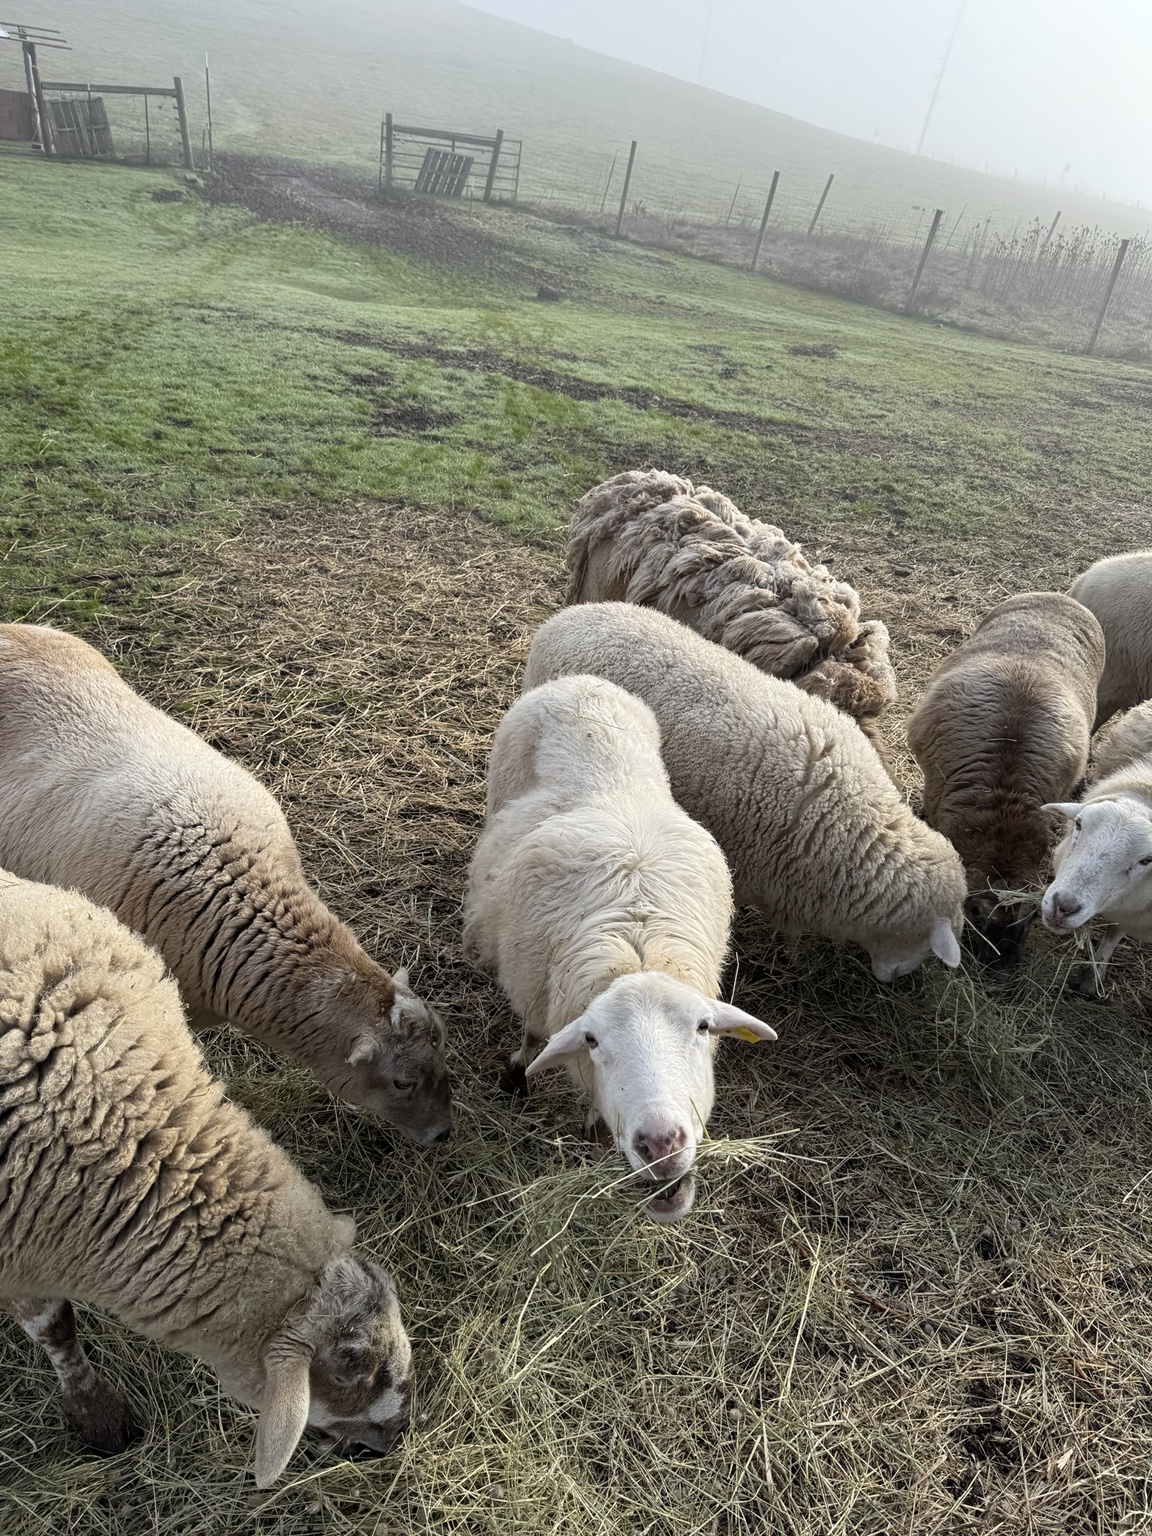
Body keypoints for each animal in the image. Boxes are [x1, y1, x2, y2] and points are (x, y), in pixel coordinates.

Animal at [462, 675, 776, 1223]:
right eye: (591, 1039)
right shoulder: (535, 989)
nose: (661, 1143)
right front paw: (518, 1076)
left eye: (703, 1027)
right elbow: (532, 1036)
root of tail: (579, 684)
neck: (638, 947)